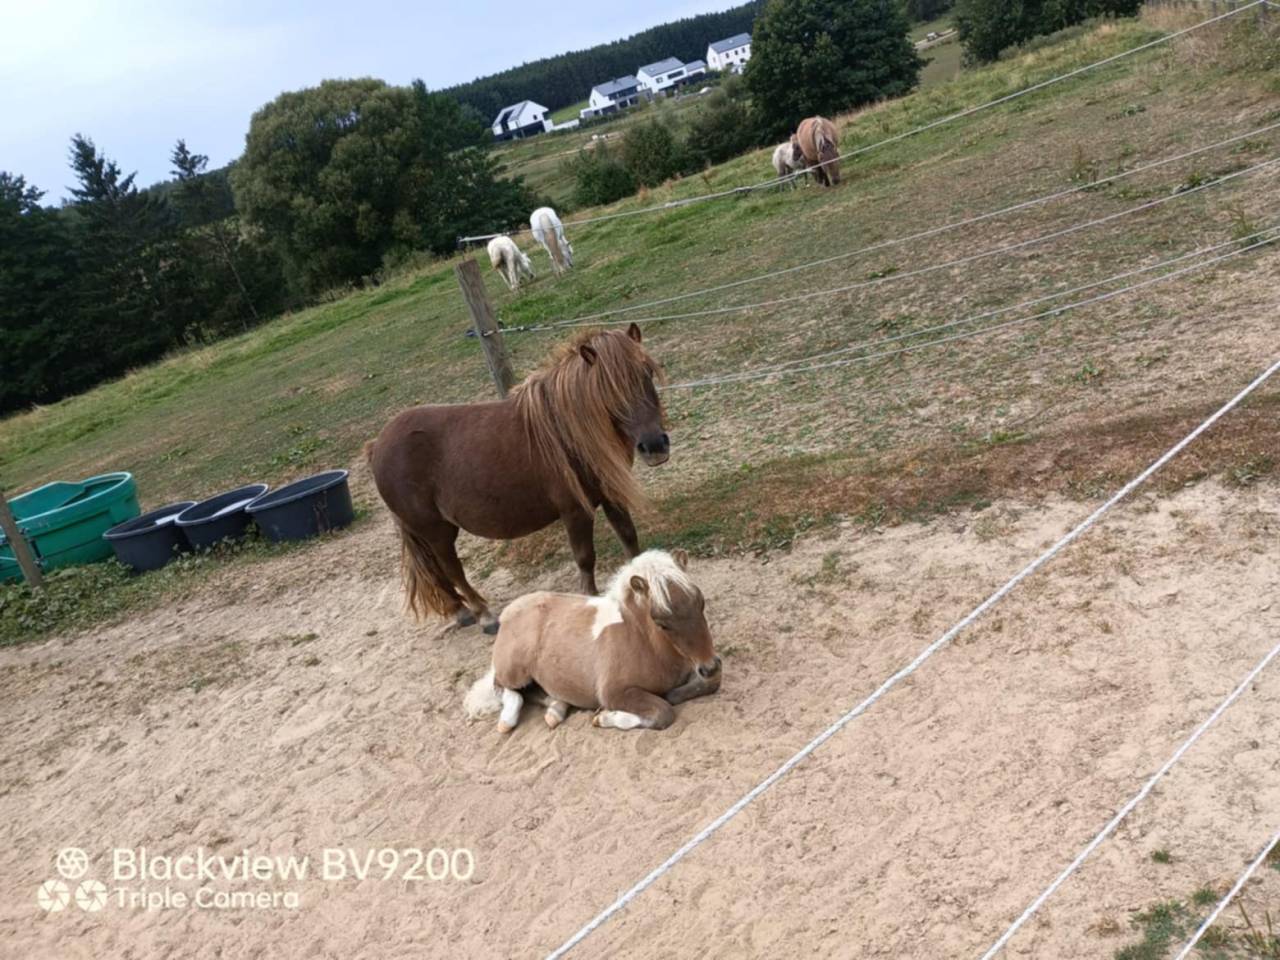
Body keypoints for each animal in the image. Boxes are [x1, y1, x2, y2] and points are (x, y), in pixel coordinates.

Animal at [366, 324, 668, 634]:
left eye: (646, 372)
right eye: (607, 388)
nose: (654, 445)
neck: (568, 433)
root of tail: (378, 445)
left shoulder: (611, 496)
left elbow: (629, 539)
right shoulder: (575, 511)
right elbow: (585, 558)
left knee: (439, 573)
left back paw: (461, 612)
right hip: (434, 530)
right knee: (451, 569)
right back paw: (484, 615)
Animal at [463, 549, 721, 732]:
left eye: (701, 603)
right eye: (661, 622)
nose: (710, 666)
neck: (642, 641)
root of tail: (508, 612)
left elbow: (708, 685)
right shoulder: (614, 693)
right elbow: (663, 712)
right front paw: (604, 718)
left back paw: (555, 711)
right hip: (515, 670)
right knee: (504, 687)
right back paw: (508, 720)